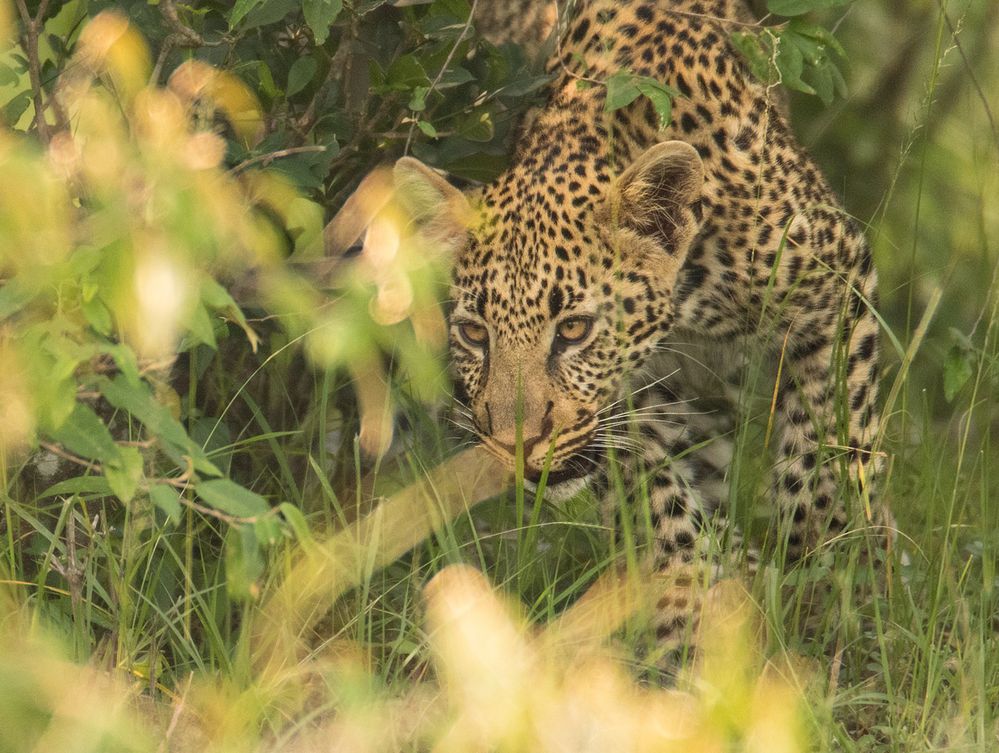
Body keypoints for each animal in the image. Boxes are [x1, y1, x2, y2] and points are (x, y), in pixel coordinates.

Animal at [362, 0, 900, 648]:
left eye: (573, 330)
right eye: (474, 334)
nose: (518, 446)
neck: (693, 297)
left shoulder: (838, 289)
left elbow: (827, 460)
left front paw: (831, 587)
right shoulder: (637, 402)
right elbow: (664, 509)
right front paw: (704, 609)